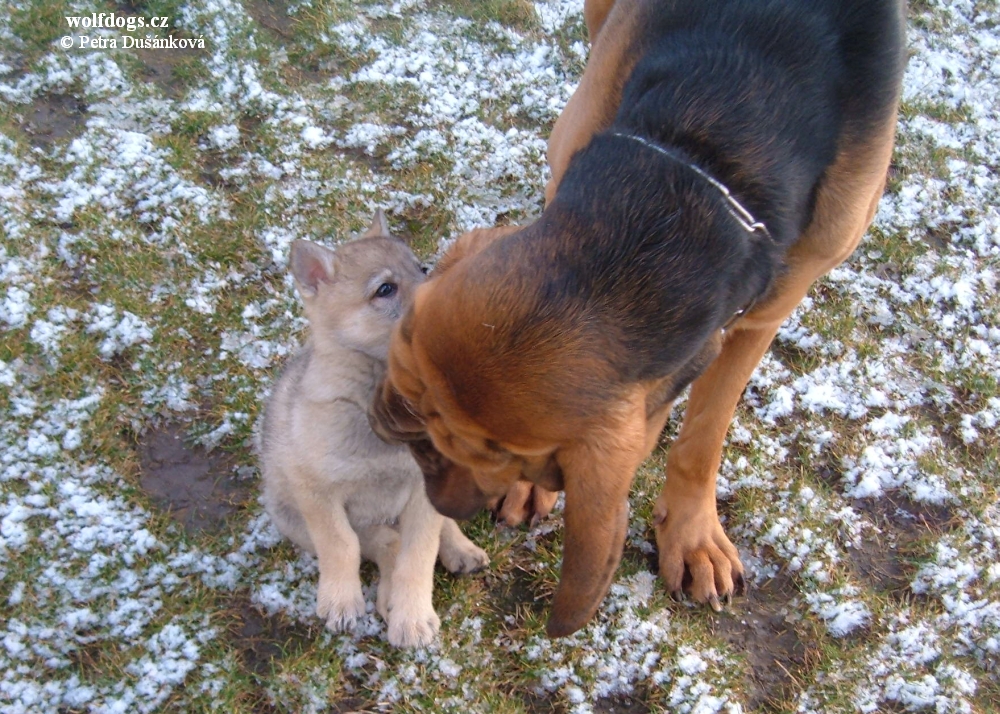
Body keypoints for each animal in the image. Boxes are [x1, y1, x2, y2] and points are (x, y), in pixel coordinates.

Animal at [260, 213, 490, 644]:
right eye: (385, 289)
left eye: (422, 269)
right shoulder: (318, 494)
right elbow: (342, 545)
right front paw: (341, 600)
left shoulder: (422, 492)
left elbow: (419, 555)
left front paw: (413, 617)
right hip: (291, 517)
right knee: (383, 541)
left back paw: (459, 550)